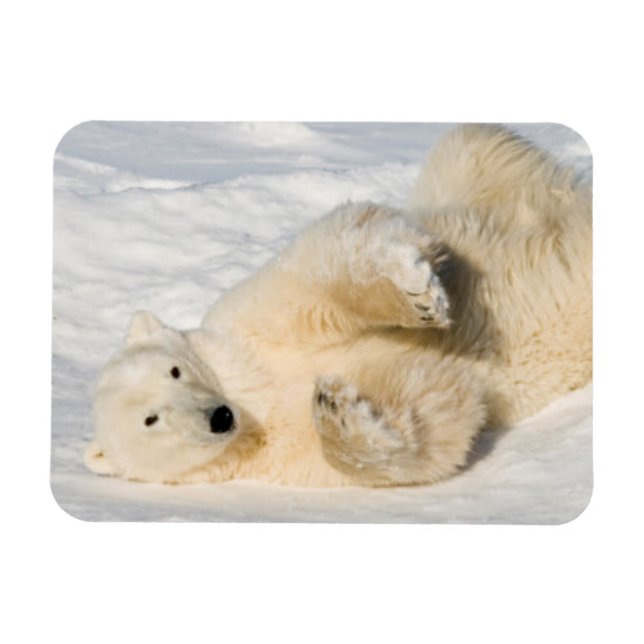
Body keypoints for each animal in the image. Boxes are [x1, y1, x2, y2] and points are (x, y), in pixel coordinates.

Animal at [84, 124, 592, 487]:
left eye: (174, 370)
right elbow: (439, 409)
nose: (218, 417)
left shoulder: (248, 327)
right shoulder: (282, 453)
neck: (252, 398)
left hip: (479, 180)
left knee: (471, 146)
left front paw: (417, 295)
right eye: (151, 419)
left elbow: (319, 270)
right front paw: (338, 408)